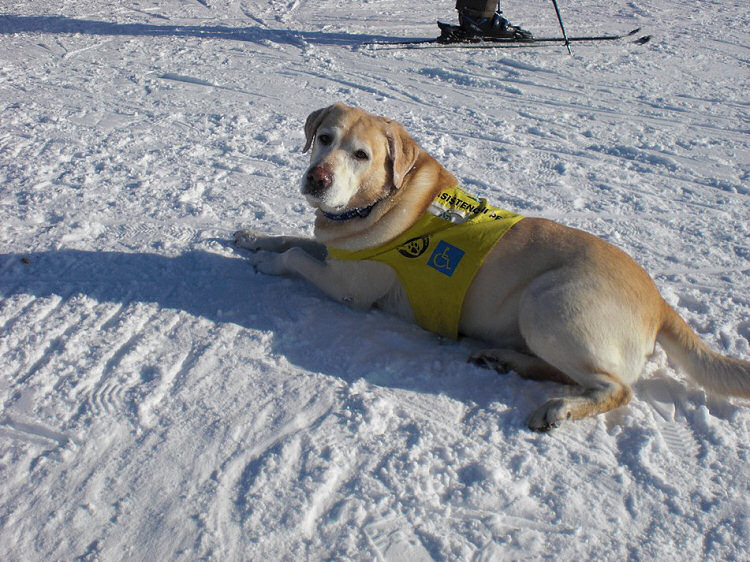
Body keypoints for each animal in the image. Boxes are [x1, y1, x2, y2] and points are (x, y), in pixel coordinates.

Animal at [236, 103, 750, 430]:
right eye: (324, 139)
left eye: (361, 155)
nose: (316, 179)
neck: (381, 201)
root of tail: (659, 302)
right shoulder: (338, 253)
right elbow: (296, 238)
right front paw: (251, 236)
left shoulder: (348, 285)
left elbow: (296, 256)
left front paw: (265, 260)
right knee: (567, 372)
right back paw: (503, 360)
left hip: (548, 303)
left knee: (616, 388)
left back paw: (558, 410)